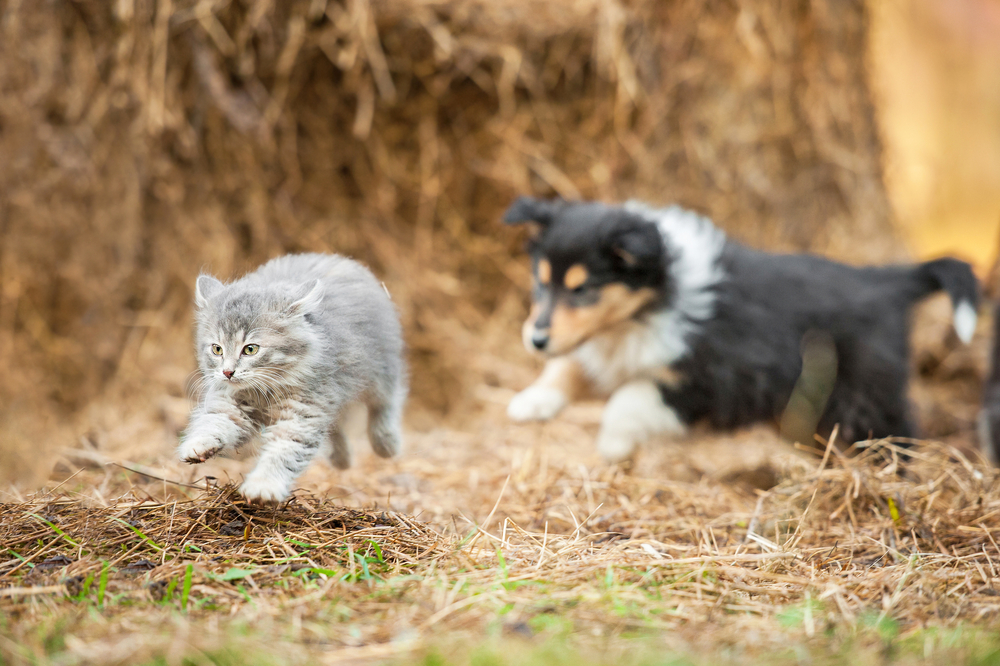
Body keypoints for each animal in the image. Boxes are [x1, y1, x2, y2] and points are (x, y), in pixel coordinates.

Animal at [179, 252, 406, 500]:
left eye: (250, 349)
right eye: (217, 349)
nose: (228, 372)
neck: (266, 390)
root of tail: (335, 258)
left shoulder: (302, 415)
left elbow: (282, 453)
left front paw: (263, 486)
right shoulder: (230, 404)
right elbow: (213, 423)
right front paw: (198, 445)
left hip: (381, 371)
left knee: (386, 402)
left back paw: (387, 444)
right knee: (335, 425)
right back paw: (341, 458)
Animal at [504, 195, 980, 460]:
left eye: (582, 290)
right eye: (540, 282)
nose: (535, 340)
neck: (647, 308)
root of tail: (884, 281)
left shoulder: (711, 378)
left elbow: (628, 398)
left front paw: (612, 445)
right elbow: (569, 366)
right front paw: (530, 401)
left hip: (867, 390)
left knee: (898, 430)